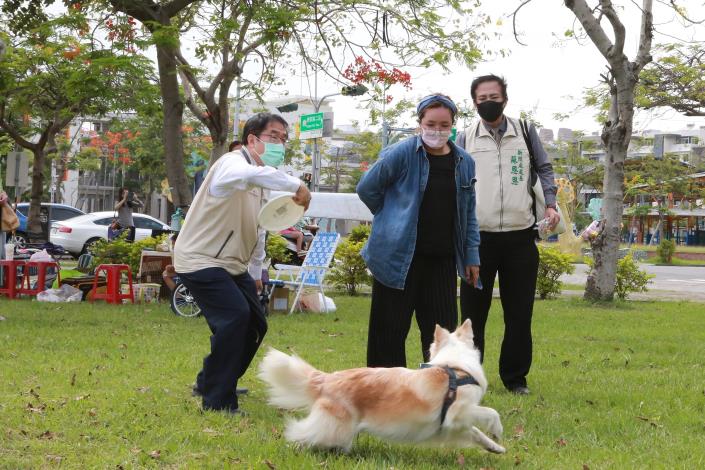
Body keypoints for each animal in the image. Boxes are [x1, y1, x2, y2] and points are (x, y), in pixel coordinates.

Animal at [258, 318, 506, 454]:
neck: (456, 369)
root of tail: (327, 378)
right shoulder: (457, 412)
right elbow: (490, 412)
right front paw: (497, 431)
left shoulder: (453, 425)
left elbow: (475, 433)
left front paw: (495, 448)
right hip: (335, 428)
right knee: (302, 434)